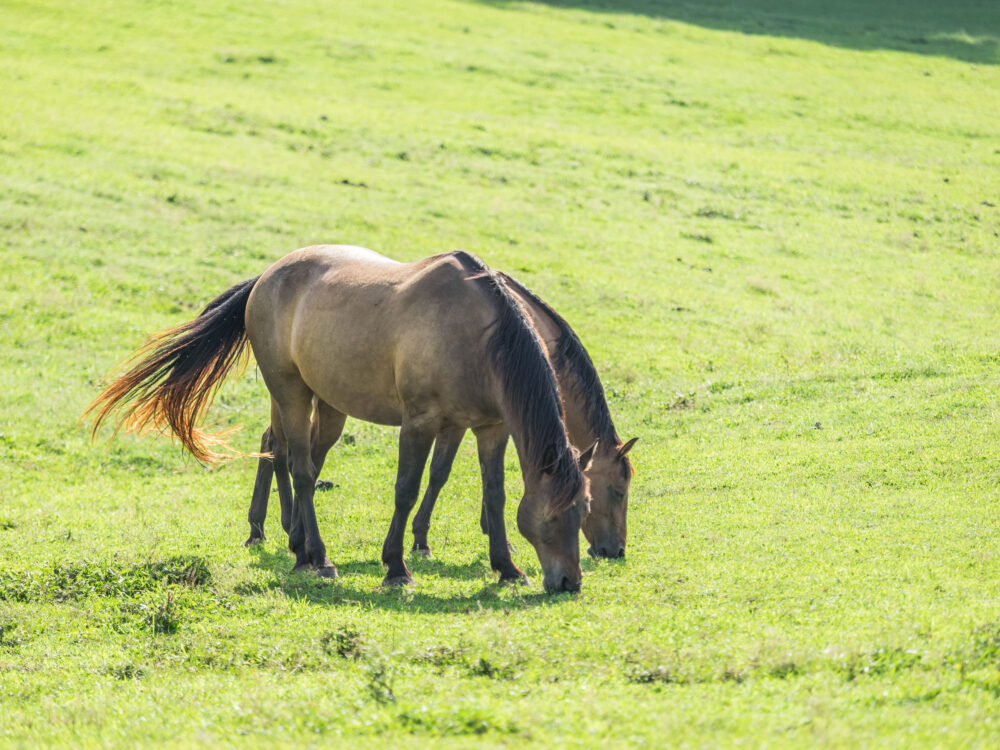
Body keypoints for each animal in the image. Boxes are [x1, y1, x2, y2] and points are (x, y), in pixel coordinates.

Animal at [87, 245, 592, 592]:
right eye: (552, 515)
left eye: (583, 510)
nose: (569, 582)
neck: (477, 335)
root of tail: (267, 276)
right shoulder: (420, 423)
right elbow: (406, 490)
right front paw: (396, 567)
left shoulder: (490, 427)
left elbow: (495, 495)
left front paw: (506, 567)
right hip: (290, 392)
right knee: (299, 468)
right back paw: (316, 556)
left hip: (328, 402)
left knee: (301, 461)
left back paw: (300, 547)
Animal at [243, 272, 637, 559]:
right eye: (618, 491)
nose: (615, 550)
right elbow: (441, 475)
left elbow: (443, 473)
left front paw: (432, 537)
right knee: (280, 447)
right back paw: (269, 528)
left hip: (328, 403)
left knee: (293, 449)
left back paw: (278, 529)